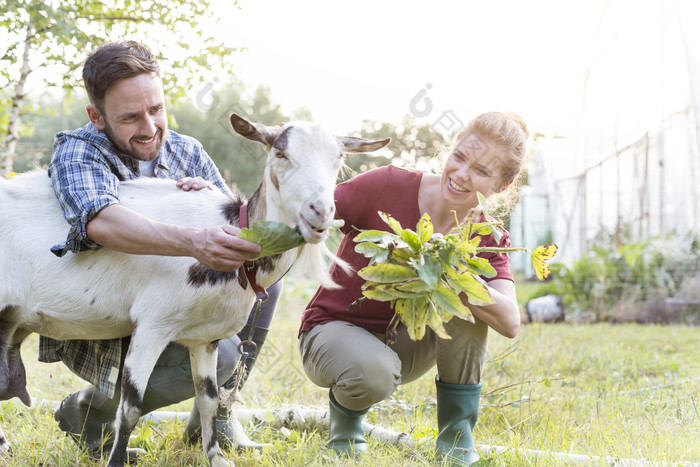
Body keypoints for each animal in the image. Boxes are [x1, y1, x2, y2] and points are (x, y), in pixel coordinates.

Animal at [0, 114, 392, 467]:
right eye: (280, 153)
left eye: (338, 158)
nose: (320, 212)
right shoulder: (152, 325)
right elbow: (130, 407)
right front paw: (117, 460)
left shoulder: (206, 337)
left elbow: (209, 398)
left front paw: (216, 457)